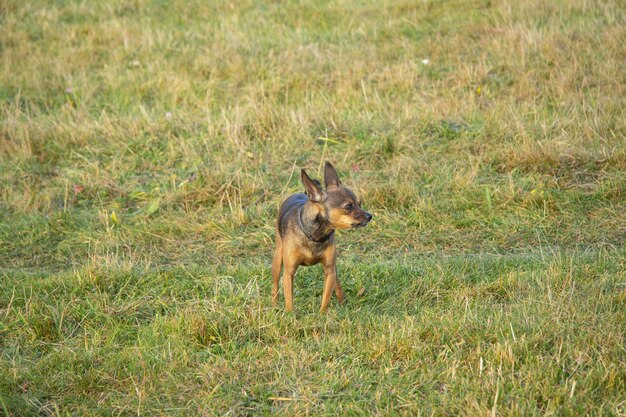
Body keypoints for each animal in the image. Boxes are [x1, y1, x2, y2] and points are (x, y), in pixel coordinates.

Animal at [270, 161, 370, 310]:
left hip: (333, 269)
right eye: (349, 206)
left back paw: (343, 303)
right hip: (278, 259)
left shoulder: (329, 270)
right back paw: (274, 304)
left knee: (337, 284)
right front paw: (289, 314)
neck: (315, 235)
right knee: (275, 285)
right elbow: (289, 300)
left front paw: (323, 314)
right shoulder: (289, 273)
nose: (370, 216)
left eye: (359, 204)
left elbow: (326, 299)